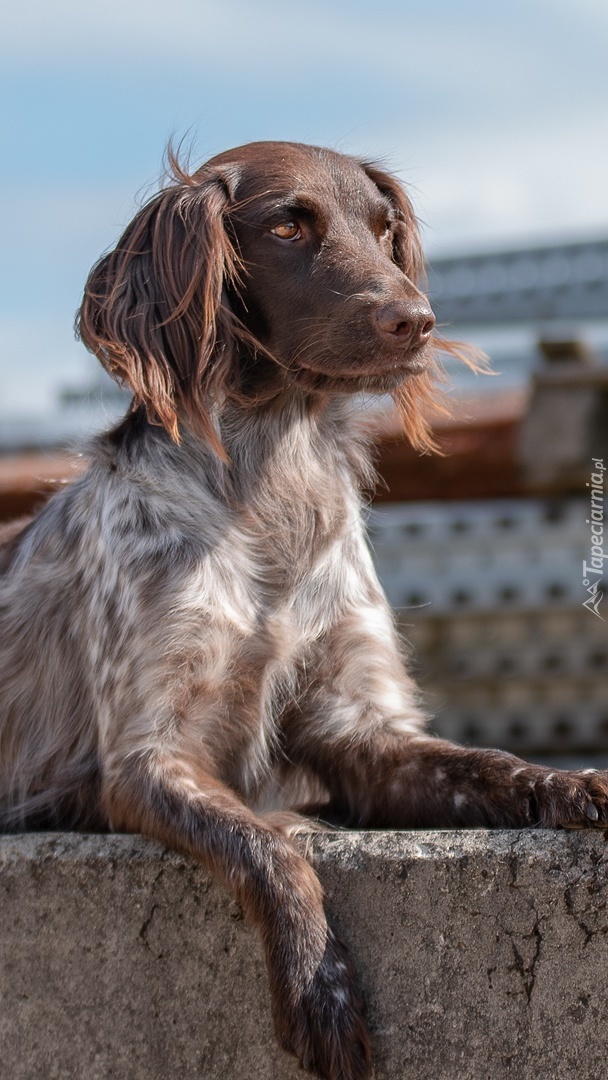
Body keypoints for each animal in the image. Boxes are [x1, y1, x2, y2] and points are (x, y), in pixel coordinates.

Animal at [1, 143, 608, 1080]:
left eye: (384, 229)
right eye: (288, 226)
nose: (416, 320)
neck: (271, 479)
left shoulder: (364, 728)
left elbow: (484, 763)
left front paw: (569, 782)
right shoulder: (147, 759)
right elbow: (271, 846)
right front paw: (320, 987)